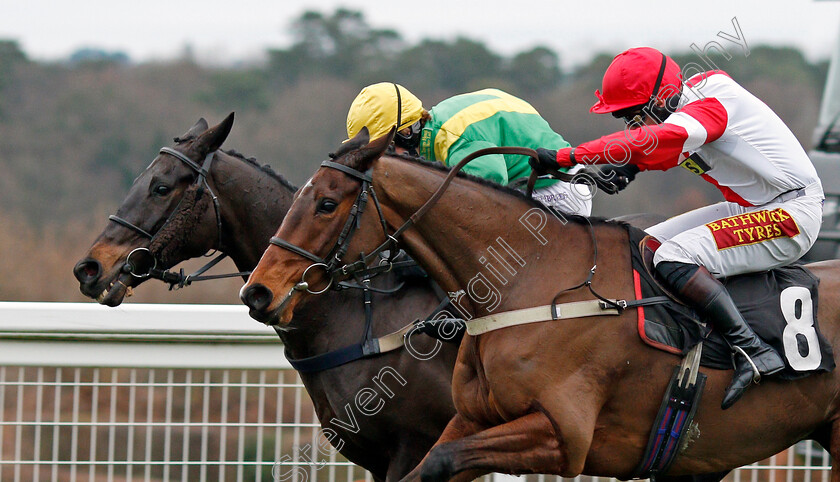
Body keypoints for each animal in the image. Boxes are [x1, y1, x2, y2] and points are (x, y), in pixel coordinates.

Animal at [243, 128, 840, 482]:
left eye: (325, 203)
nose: (258, 292)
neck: (529, 284)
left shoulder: (561, 436)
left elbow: (439, 463)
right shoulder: (470, 418)